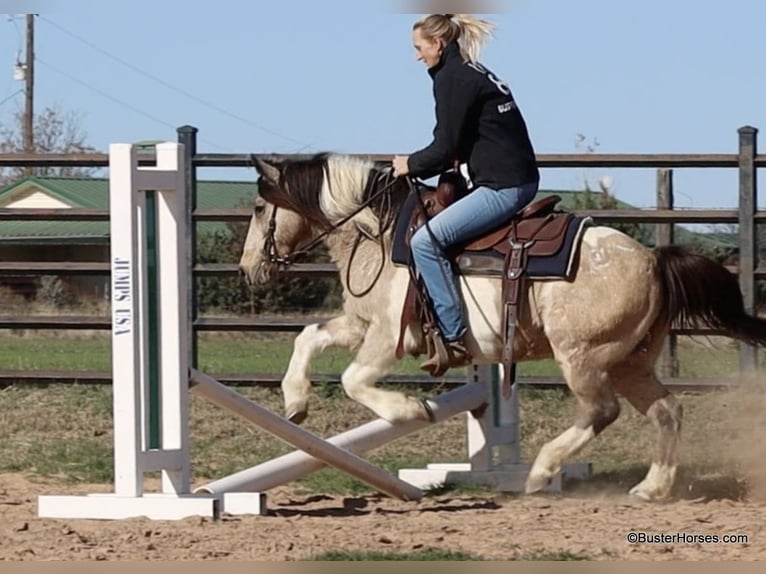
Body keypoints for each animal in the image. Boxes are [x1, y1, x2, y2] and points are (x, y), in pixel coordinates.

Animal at [238, 152, 766, 501]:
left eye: (260, 208)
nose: (248, 269)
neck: (381, 232)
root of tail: (653, 259)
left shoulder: (389, 337)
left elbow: (353, 380)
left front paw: (410, 409)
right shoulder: (359, 323)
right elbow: (309, 337)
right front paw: (295, 401)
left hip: (584, 358)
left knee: (602, 411)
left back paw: (541, 472)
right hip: (630, 362)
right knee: (666, 411)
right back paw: (652, 487)